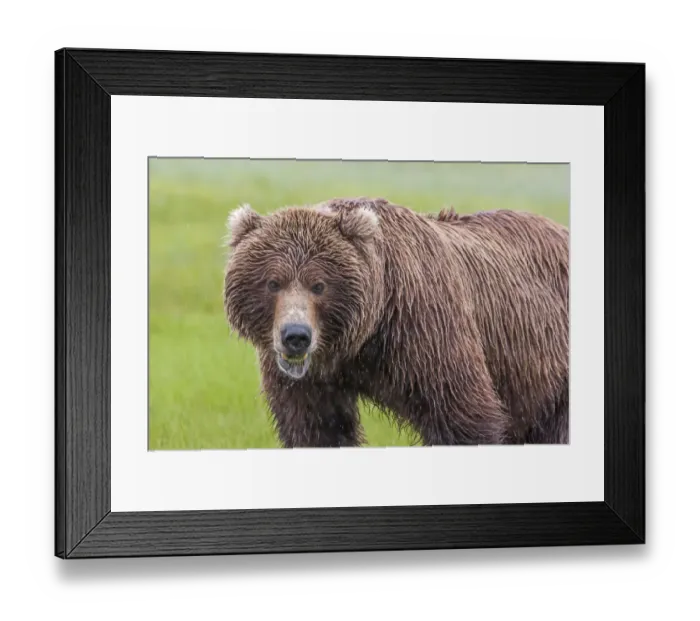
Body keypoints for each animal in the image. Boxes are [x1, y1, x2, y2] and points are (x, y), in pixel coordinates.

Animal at [223, 197, 569, 448]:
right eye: (273, 282)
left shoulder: (425, 328)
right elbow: (315, 427)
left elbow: (463, 415)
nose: (296, 336)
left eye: (319, 285)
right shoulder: (310, 381)